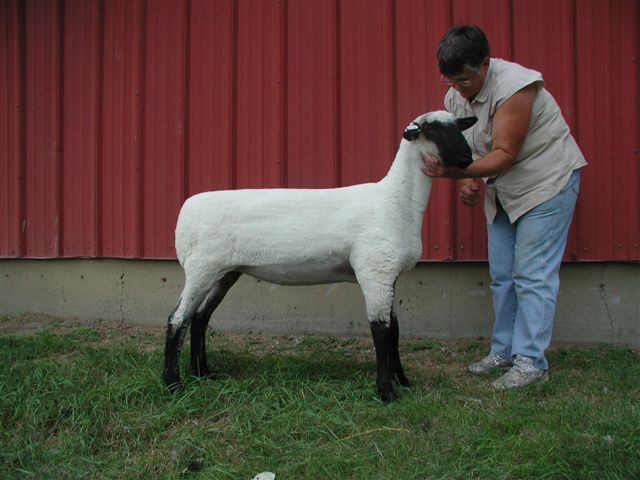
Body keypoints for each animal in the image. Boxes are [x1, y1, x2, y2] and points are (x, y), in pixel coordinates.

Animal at [162, 110, 478, 404]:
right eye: (431, 130)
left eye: (458, 126)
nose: (467, 157)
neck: (396, 202)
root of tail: (186, 212)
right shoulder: (374, 270)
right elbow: (381, 331)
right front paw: (386, 392)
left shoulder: (389, 274)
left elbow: (395, 331)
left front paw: (402, 380)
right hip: (202, 267)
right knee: (177, 319)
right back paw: (173, 384)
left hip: (226, 271)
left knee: (199, 318)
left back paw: (203, 373)